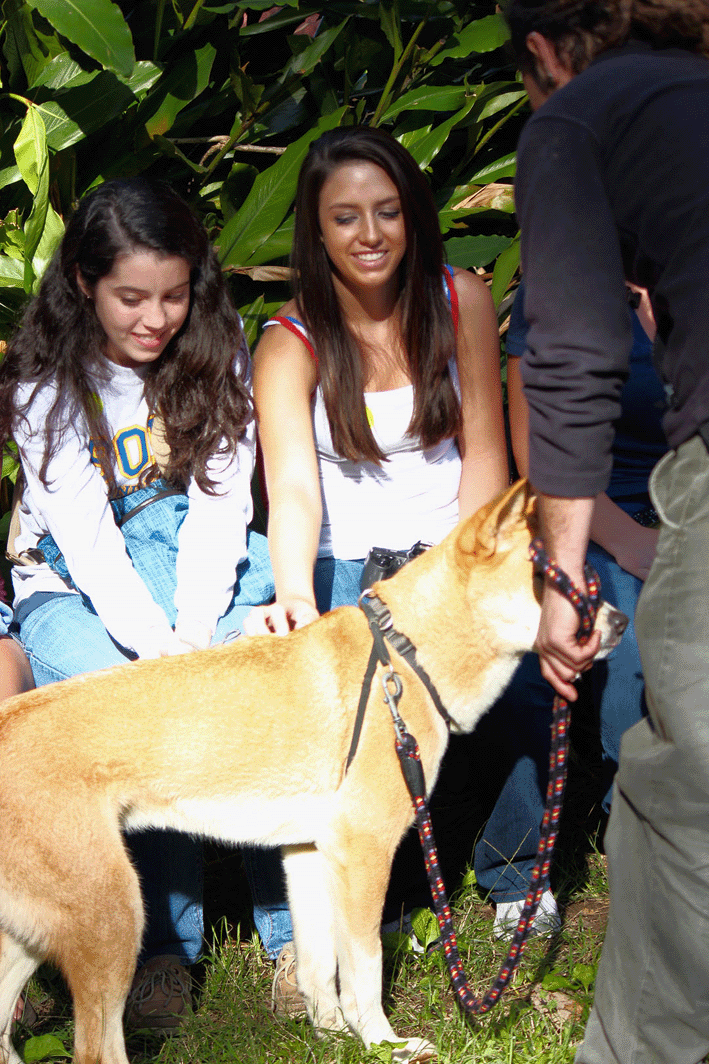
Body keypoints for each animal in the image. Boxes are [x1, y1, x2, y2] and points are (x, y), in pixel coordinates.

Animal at [0, 480, 626, 1064]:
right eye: (547, 580)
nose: (620, 622)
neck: (404, 653)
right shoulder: (364, 851)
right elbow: (365, 970)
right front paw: (383, 1045)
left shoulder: (307, 853)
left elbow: (318, 966)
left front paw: (332, 1037)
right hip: (114, 920)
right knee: (95, 1049)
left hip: (33, 938)